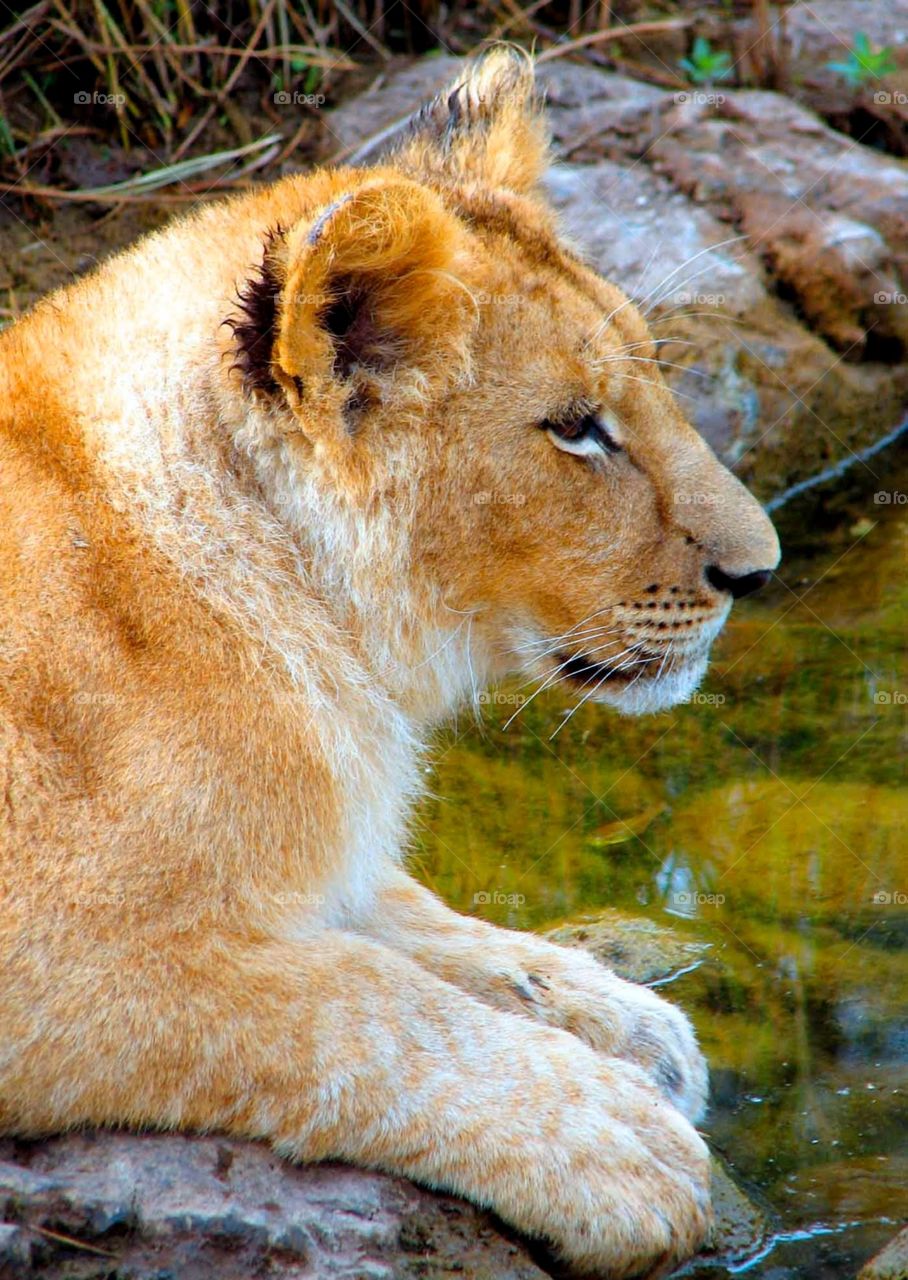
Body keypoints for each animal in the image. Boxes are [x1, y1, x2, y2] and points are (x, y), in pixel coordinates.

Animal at [1, 49, 778, 1280]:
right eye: (575, 427)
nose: (760, 569)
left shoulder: (322, 858)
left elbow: (414, 921)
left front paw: (622, 1020)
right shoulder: (60, 962)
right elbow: (362, 1003)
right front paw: (619, 1143)